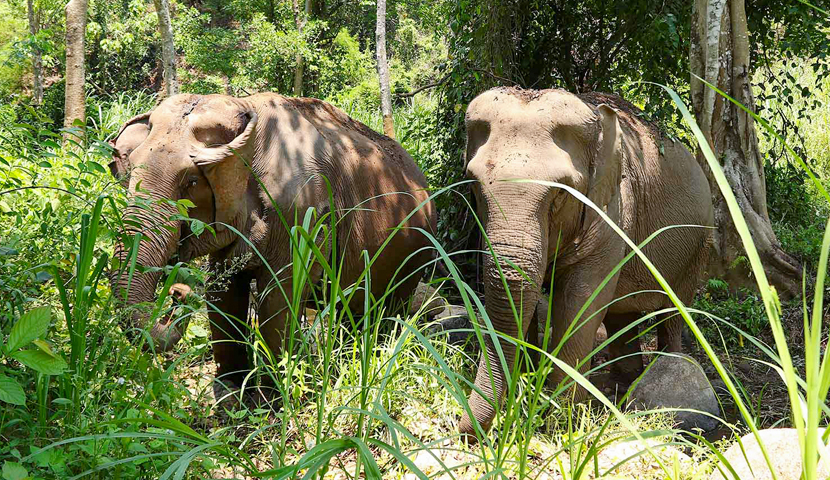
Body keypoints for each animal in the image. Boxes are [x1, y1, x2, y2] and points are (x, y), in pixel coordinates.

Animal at [109, 92, 442, 392]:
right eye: (130, 171)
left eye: (191, 181)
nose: (177, 293)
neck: (243, 104)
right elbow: (222, 293)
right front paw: (230, 388)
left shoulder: (301, 213)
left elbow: (279, 298)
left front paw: (272, 396)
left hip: (414, 254)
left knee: (385, 309)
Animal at [462, 86, 716, 436]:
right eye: (474, 185)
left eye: (559, 194)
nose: (463, 429)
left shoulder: (612, 210)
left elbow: (580, 301)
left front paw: (557, 419)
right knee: (621, 311)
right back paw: (620, 382)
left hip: (698, 243)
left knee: (673, 309)